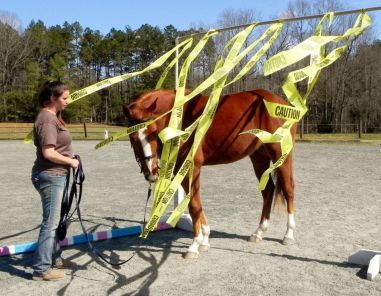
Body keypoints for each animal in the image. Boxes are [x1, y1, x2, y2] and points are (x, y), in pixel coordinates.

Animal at [123, 88, 296, 260]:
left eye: (153, 131)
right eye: (132, 137)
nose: (151, 172)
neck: (182, 119)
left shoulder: (192, 167)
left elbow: (193, 205)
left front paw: (194, 245)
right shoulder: (181, 169)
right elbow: (196, 203)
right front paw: (205, 239)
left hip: (281, 155)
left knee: (288, 189)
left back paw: (288, 234)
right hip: (259, 157)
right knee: (268, 191)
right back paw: (259, 232)